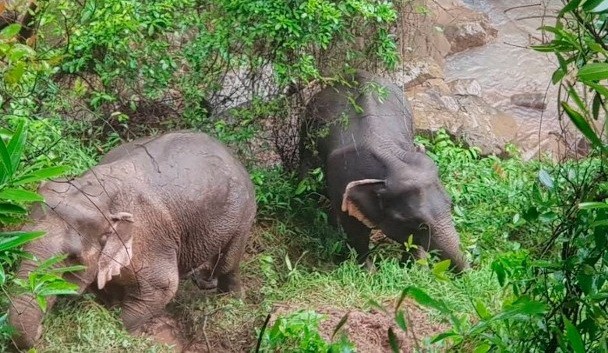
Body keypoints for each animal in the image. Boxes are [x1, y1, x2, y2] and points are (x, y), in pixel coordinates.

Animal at [9, 131, 256, 348]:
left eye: (71, 258)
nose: (41, 331)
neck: (95, 194)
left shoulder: (149, 239)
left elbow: (163, 287)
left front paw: (132, 334)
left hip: (243, 214)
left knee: (228, 263)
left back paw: (232, 299)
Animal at [300, 69, 470, 272]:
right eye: (420, 224)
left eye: (450, 205)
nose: (469, 273)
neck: (391, 161)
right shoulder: (341, 180)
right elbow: (355, 231)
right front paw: (368, 271)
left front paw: (412, 268)